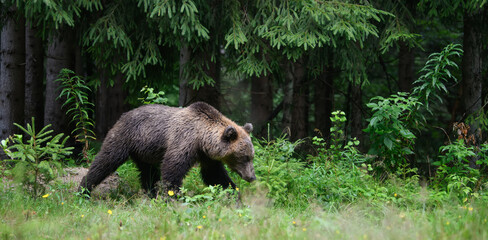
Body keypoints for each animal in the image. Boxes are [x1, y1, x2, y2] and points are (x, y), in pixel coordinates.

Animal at [79, 102, 255, 196]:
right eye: (245, 157)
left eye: (251, 157)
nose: (252, 177)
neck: (201, 139)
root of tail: (124, 114)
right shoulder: (184, 141)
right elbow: (173, 169)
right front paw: (173, 197)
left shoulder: (207, 156)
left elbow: (215, 175)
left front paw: (234, 194)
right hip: (124, 138)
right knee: (105, 160)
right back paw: (83, 189)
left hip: (144, 152)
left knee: (148, 172)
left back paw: (151, 193)